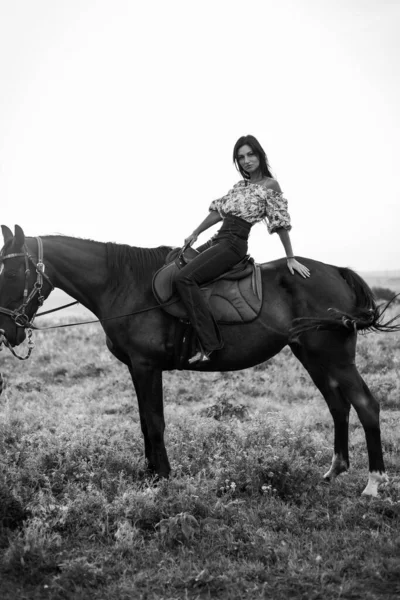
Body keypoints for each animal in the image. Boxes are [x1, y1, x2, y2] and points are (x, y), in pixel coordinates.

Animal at [0, 225, 396, 496]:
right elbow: (144, 421)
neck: (122, 284)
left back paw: (374, 483)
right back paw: (334, 471)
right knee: (338, 405)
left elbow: (154, 421)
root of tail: (337, 271)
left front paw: (162, 476)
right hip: (311, 355)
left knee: (366, 404)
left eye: (12, 273)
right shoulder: (137, 368)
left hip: (334, 357)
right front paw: (149, 471)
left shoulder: (146, 366)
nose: (8, 331)